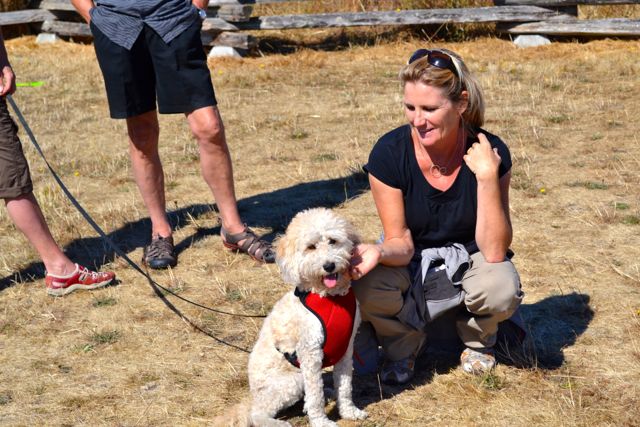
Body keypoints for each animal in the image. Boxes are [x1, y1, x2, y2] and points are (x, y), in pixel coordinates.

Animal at [246, 207, 368, 427]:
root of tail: (253, 392)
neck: (330, 298)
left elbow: (345, 386)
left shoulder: (346, 349)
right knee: (256, 414)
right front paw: (321, 422)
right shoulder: (310, 354)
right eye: (311, 247)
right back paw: (279, 423)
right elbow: (315, 396)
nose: (329, 266)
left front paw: (349, 411)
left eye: (333, 241)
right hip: (292, 381)